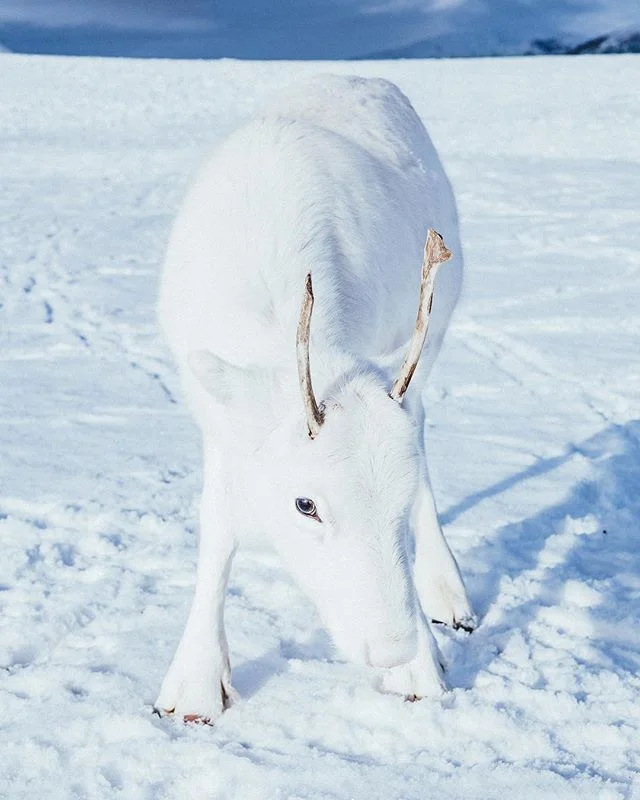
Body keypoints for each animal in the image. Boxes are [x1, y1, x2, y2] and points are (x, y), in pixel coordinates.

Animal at [154, 74, 476, 724]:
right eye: (306, 505)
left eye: (400, 497)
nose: (391, 647)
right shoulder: (221, 417)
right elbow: (217, 525)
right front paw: (195, 684)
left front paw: (420, 667)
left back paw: (446, 590)